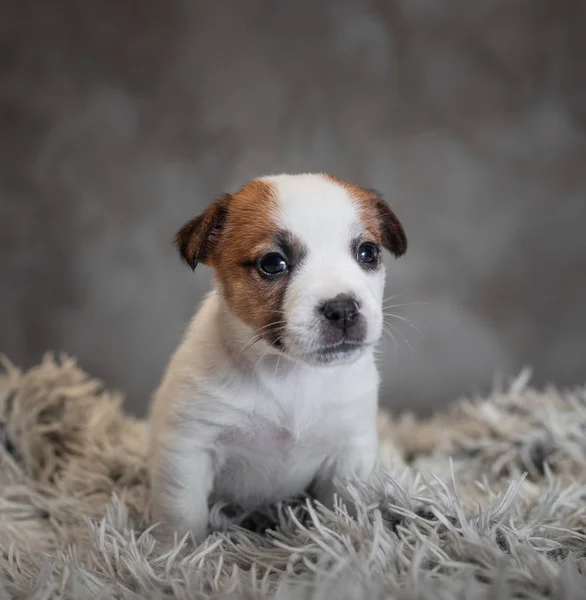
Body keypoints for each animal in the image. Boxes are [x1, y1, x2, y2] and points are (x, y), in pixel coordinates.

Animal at [147, 173, 406, 544]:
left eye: (367, 253)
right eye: (273, 263)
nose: (342, 308)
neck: (291, 373)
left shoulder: (350, 454)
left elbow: (347, 507)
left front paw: (350, 538)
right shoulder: (188, 450)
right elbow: (183, 516)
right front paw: (178, 553)